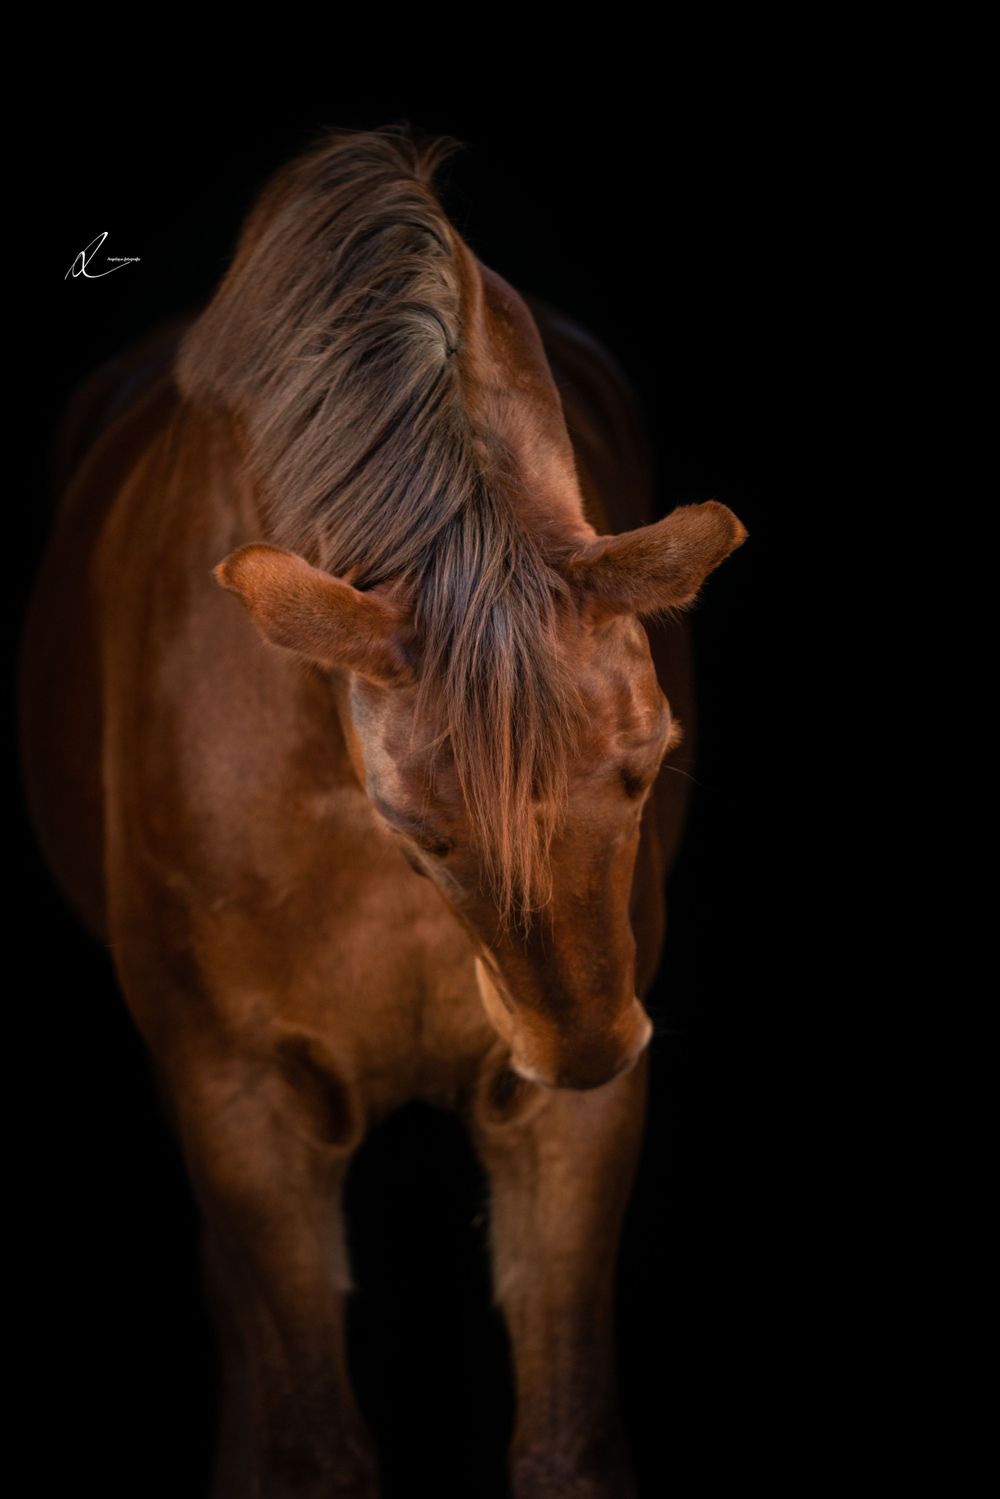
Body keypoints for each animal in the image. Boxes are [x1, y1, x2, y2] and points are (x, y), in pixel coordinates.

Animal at [18, 123, 748, 1498]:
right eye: (410, 821)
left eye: (653, 755)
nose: (582, 1046)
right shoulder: (243, 1105)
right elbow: (310, 1444)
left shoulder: (571, 1128)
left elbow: (568, 1441)